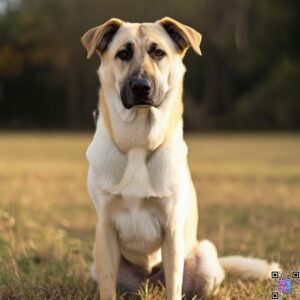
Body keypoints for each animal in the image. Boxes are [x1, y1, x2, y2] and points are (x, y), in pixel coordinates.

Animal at [80, 17, 282, 298]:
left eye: (158, 52)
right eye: (123, 53)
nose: (141, 87)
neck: (138, 143)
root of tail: (150, 283)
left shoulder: (172, 229)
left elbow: (175, 285)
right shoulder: (106, 230)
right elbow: (108, 289)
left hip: (205, 257)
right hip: (98, 263)